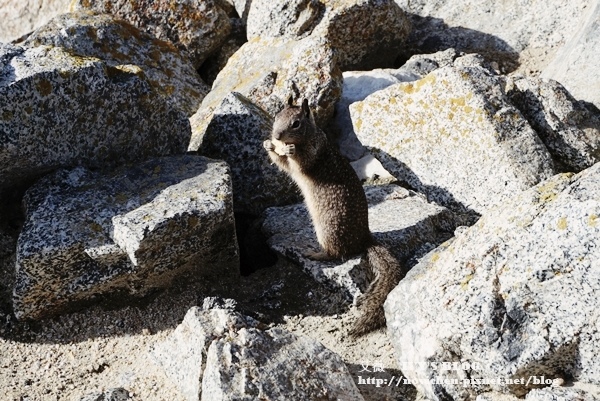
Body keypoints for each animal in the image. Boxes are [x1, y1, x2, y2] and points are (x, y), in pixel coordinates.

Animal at [262, 97, 404, 334]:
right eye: (276, 117)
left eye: (296, 124)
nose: (277, 136)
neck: (311, 135)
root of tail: (364, 238)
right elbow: (281, 163)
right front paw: (268, 145)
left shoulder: (313, 153)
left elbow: (300, 161)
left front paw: (289, 149)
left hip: (328, 229)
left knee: (335, 254)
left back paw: (313, 253)